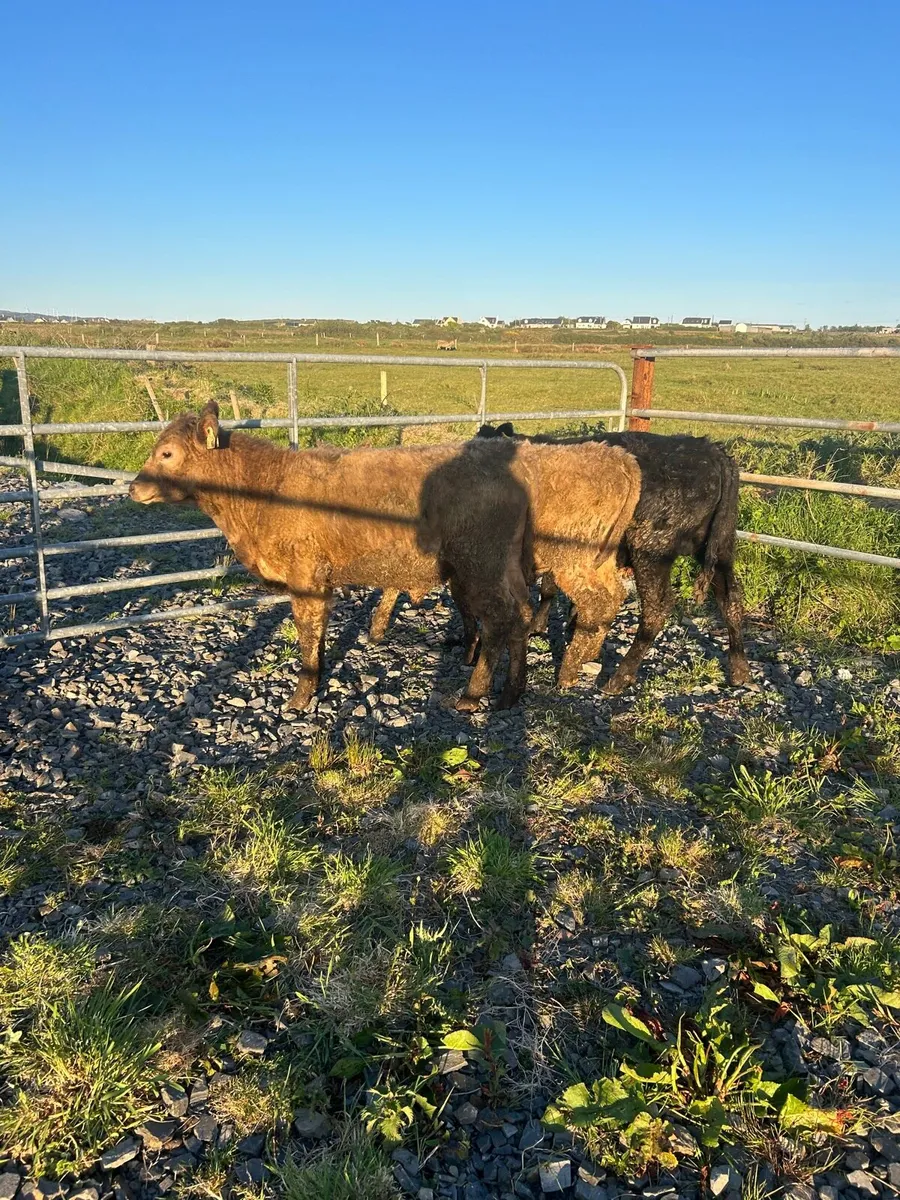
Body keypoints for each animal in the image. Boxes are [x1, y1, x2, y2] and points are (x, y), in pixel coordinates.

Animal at [129, 403, 640, 711]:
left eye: (167, 453)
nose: (133, 487)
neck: (266, 487)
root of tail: (618, 458)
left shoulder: (306, 577)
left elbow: (307, 637)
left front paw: (302, 695)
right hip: (508, 569)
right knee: (520, 615)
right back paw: (513, 691)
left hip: (513, 564)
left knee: (533, 615)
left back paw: (492, 689)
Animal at [473, 422, 750, 693]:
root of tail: (710, 449)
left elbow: (548, 587)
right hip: (721, 548)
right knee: (730, 598)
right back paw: (739, 670)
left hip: (651, 551)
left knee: (657, 608)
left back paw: (619, 677)